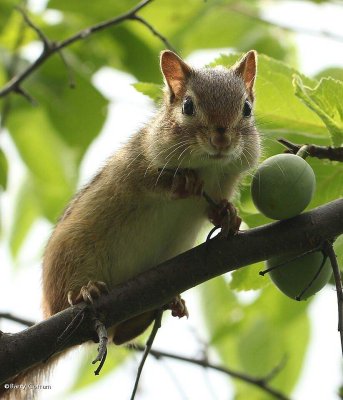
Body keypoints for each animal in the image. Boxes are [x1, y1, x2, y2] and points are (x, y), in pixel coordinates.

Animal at [2, 49, 260, 396]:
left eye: (247, 108)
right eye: (188, 106)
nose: (221, 138)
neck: (207, 166)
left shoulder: (224, 184)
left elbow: (215, 208)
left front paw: (228, 215)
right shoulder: (136, 163)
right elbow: (154, 182)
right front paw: (183, 183)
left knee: (119, 335)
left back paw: (164, 305)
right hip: (70, 258)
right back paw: (85, 291)